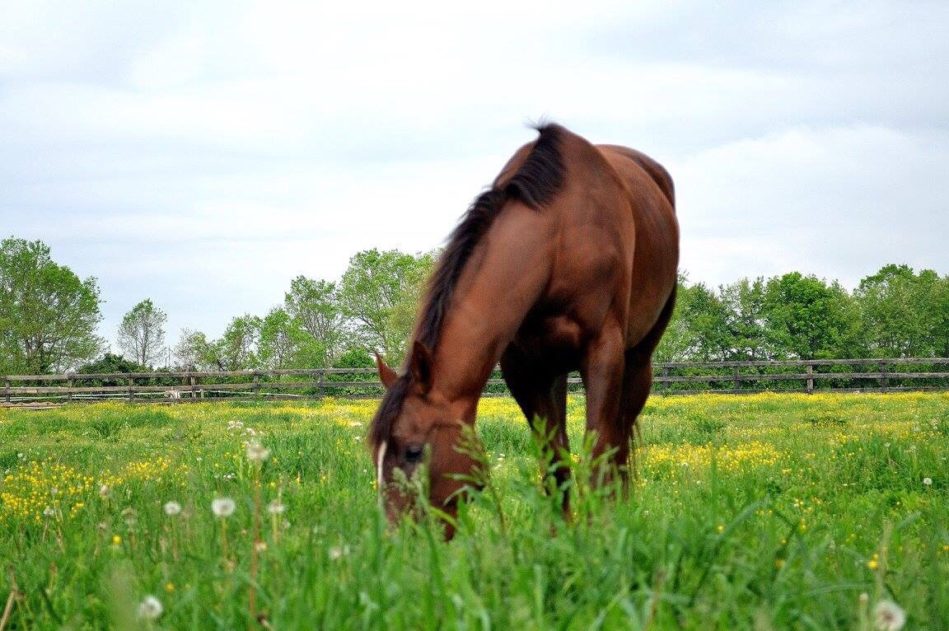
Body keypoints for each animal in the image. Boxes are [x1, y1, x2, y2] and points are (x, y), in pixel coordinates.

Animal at [370, 123, 679, 537]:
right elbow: (553, 460)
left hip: (638, 359)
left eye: (413, 450)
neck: (558, 236)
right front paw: (558, 538)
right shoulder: (523, 369)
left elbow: (598, 451)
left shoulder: (603, 353)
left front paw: (599, 535)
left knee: (620, 439)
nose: (397, 540)